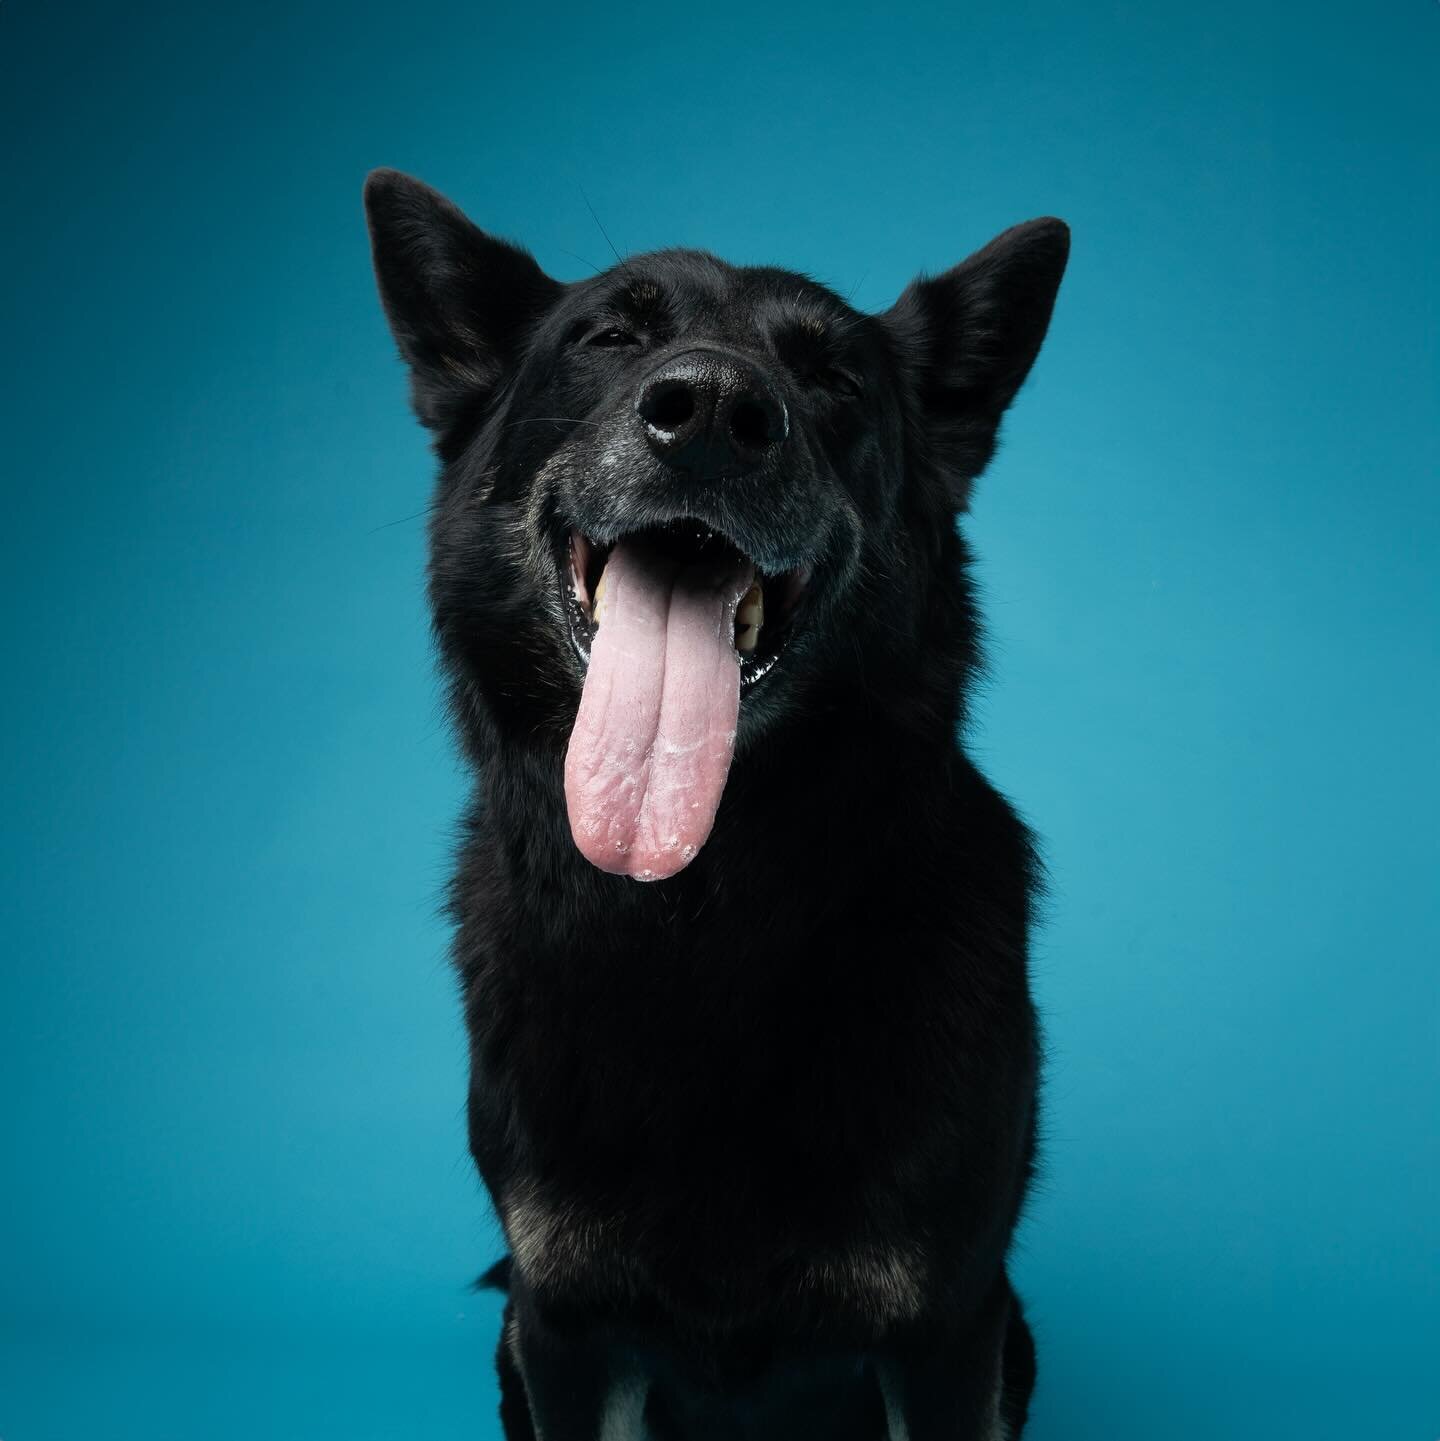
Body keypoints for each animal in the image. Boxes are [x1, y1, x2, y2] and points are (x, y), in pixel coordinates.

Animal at [366, 171, 1072, 1441]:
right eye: (608, 337)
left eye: (835, 380)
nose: (709, 414)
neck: (698, 911)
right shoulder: (565, 1332)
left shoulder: (949, 1332)